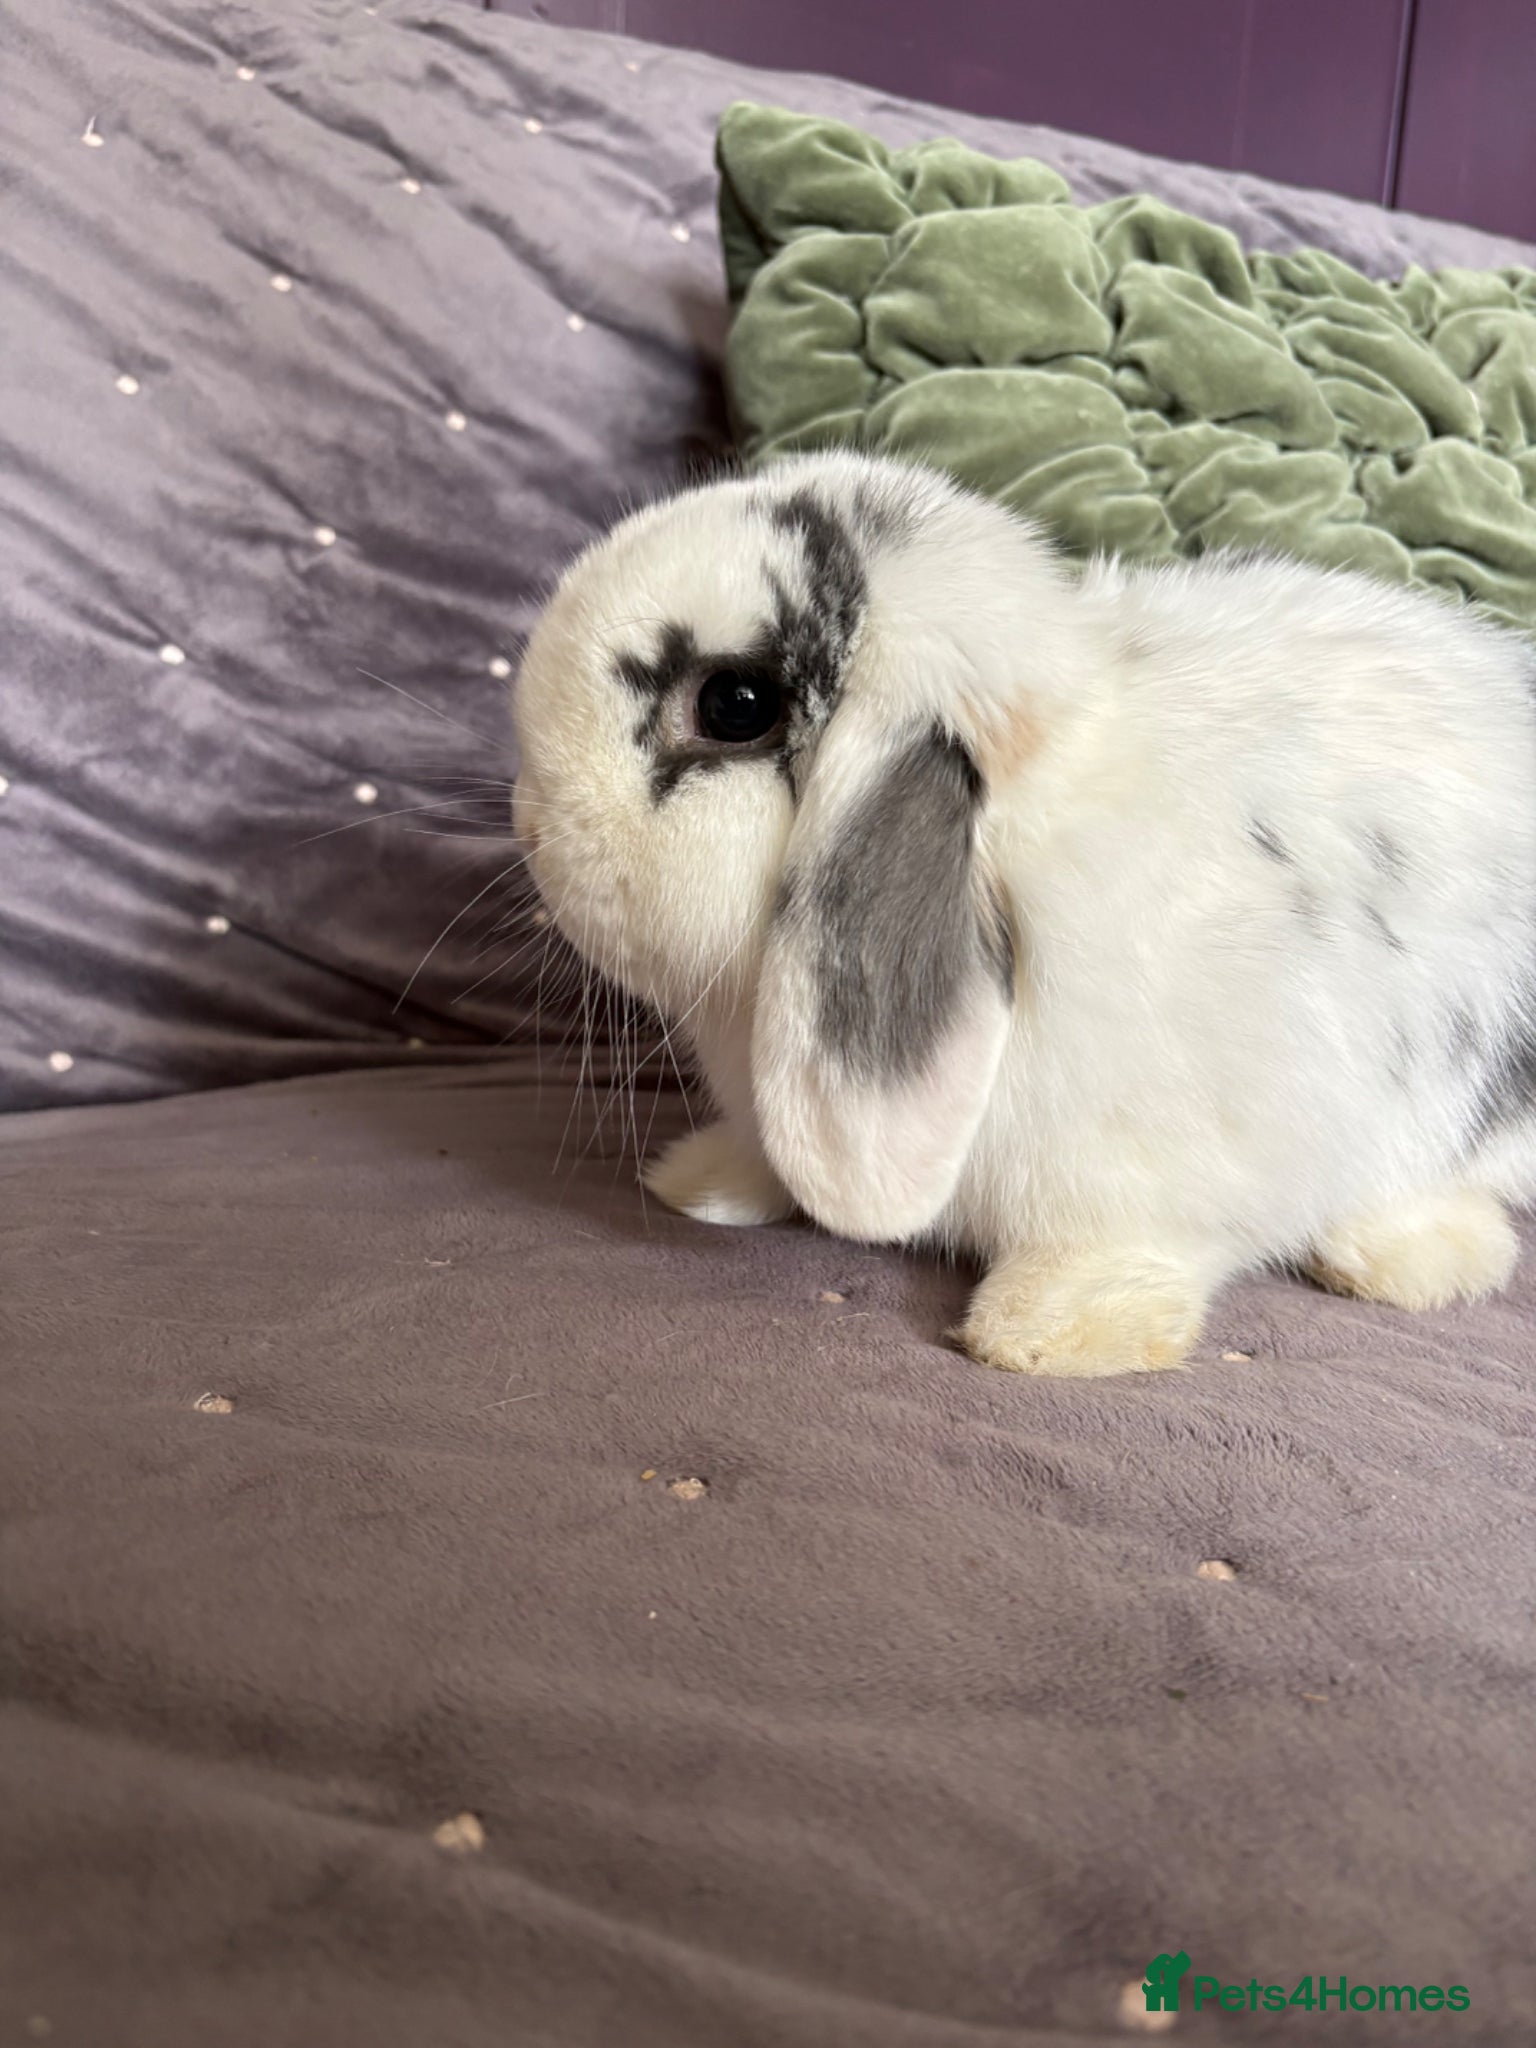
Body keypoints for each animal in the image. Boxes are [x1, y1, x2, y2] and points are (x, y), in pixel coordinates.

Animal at [510, 450, 1536, 1377]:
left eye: (735, 703)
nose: (528, 818)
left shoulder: (1151, 1182)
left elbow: (1123, 1252)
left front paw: (1050, 1335)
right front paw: (700, 1184)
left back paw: (1407, 1260)